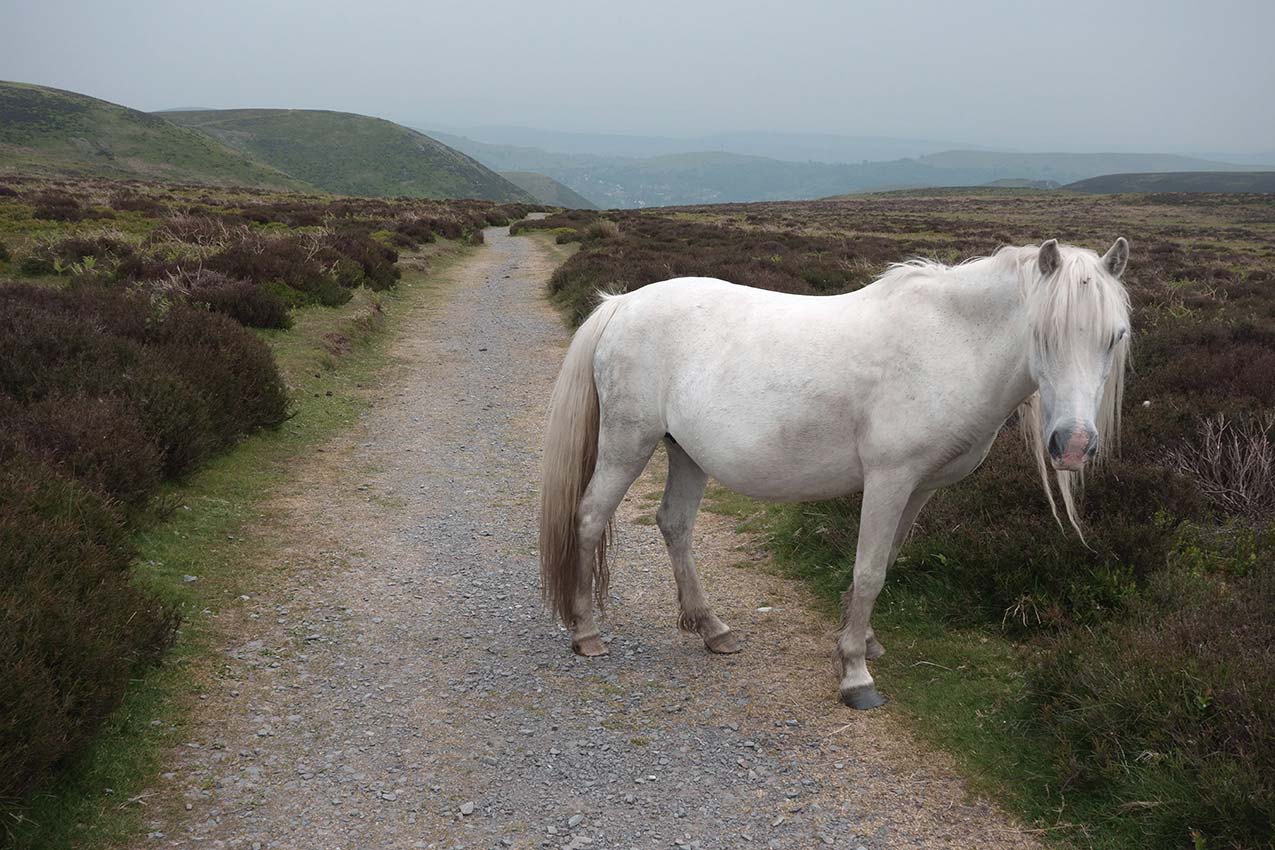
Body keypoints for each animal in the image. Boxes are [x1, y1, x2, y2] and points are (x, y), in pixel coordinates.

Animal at [539, 238, 1131, 709]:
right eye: (1044, 333)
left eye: (1115, 336)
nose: (1074, 445)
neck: (948, 343)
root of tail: (621, 304)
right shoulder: (889, 480)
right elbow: (869, 571)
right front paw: (854, 673)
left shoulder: (918, 489)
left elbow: (886, 560)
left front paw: (862, 641)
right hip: (628, 443)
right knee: (590, 517)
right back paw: (587, 632)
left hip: (685, 453)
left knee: (675, 525)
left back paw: (711, 628)